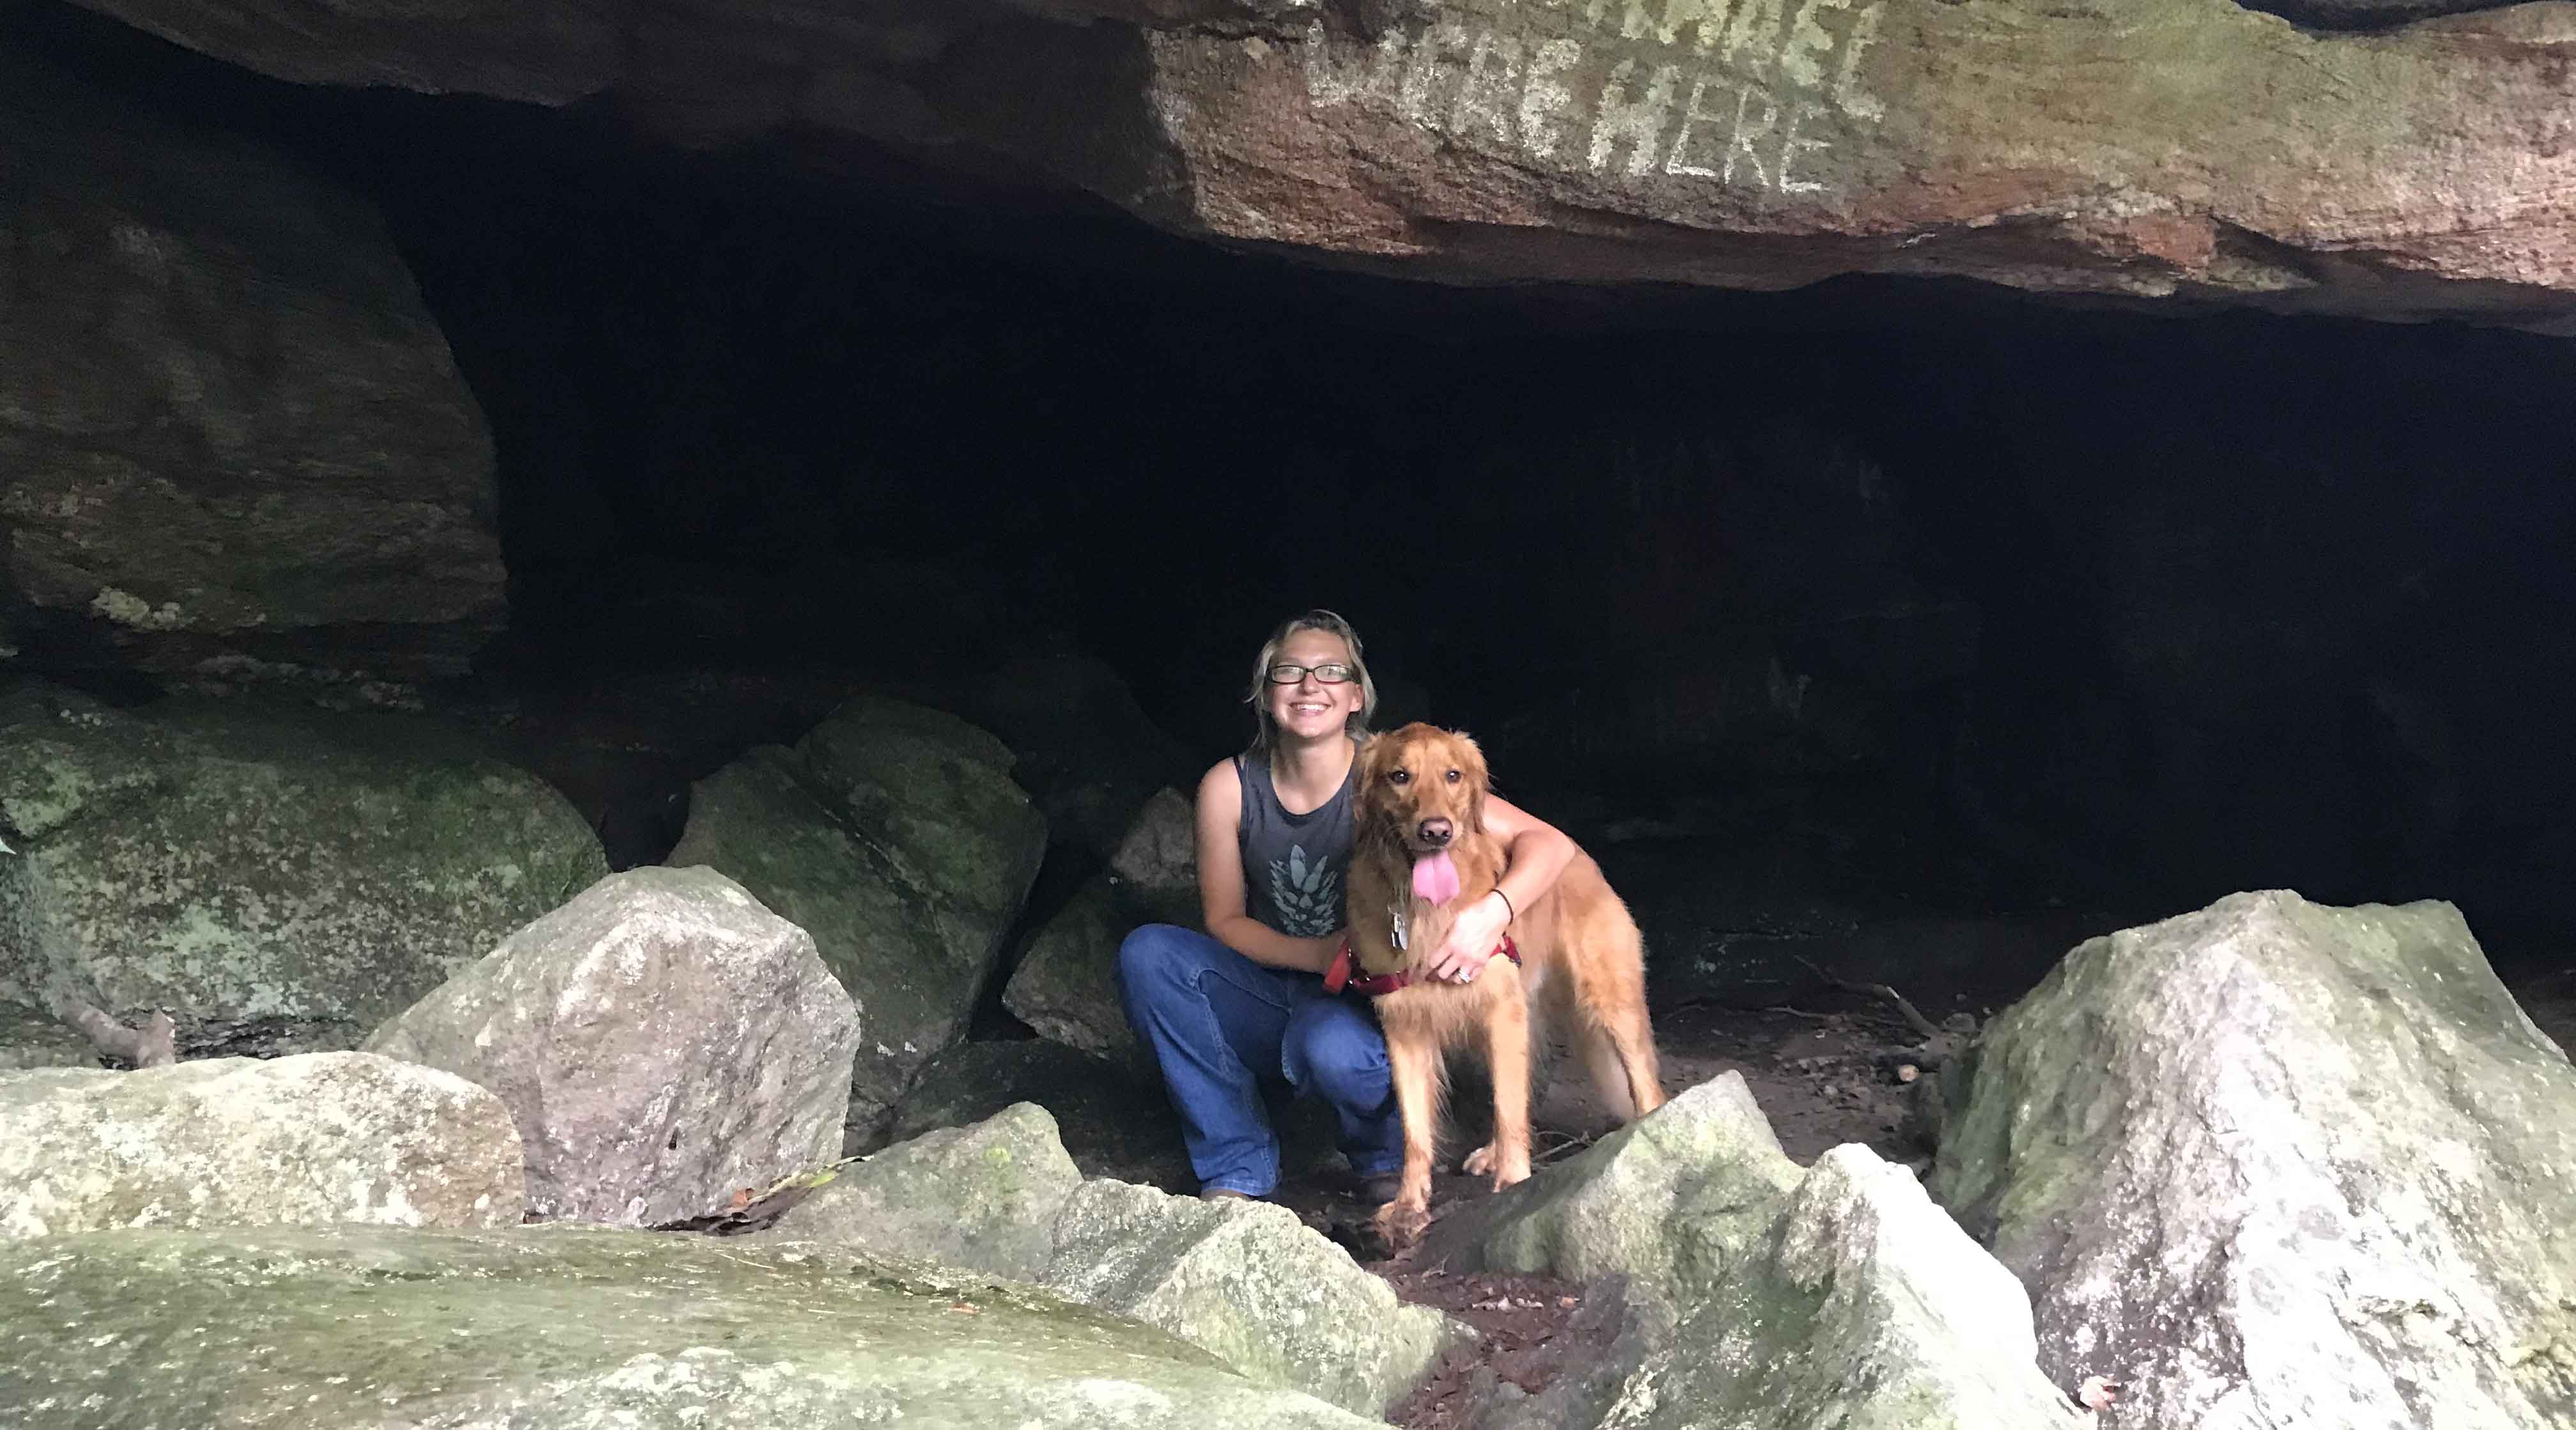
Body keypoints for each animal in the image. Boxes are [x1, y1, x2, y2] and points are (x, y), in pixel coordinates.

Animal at [1339, 721, 1659, 1247]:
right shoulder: (1405, 1028)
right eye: (1399, 776)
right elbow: (1415, 1133)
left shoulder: (1499, 1010)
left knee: (1645, 1087)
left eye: (1452, 775)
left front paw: (1513, 1182)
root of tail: (1579, 851)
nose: (1436, 831)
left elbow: (1508, 1107)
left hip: (1608, 1005)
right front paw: (1408, 1206)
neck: (1427, 911)